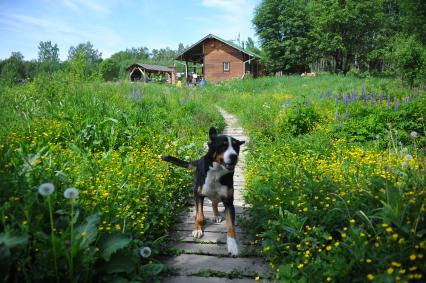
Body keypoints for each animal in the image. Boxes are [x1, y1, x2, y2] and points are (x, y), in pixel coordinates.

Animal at [161, 127, 246, 256]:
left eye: (236, 147)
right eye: (223, 146)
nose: (234, 156)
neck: (217, 173)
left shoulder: (228, 201)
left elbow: (231, 225)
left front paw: (232, 245)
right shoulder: (198, 195)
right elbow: (199, 215)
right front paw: (197, 228)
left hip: (218, 197)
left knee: (214, 203)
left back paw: (216, 215)